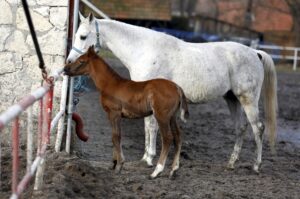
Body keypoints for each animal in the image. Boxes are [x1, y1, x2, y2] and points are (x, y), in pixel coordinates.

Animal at [64, 47, 189, 179]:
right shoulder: (112, 115)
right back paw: (174, 169)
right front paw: (114, 164)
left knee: (167, 138)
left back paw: (157, 171)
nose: (65, 69)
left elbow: (116, 136)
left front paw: (119, 165)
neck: (110, 84)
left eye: (81, 61)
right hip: (172, 117)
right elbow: (113, 136)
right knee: (178, 137)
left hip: (162, 116)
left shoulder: (114, 113)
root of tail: (177, 87)